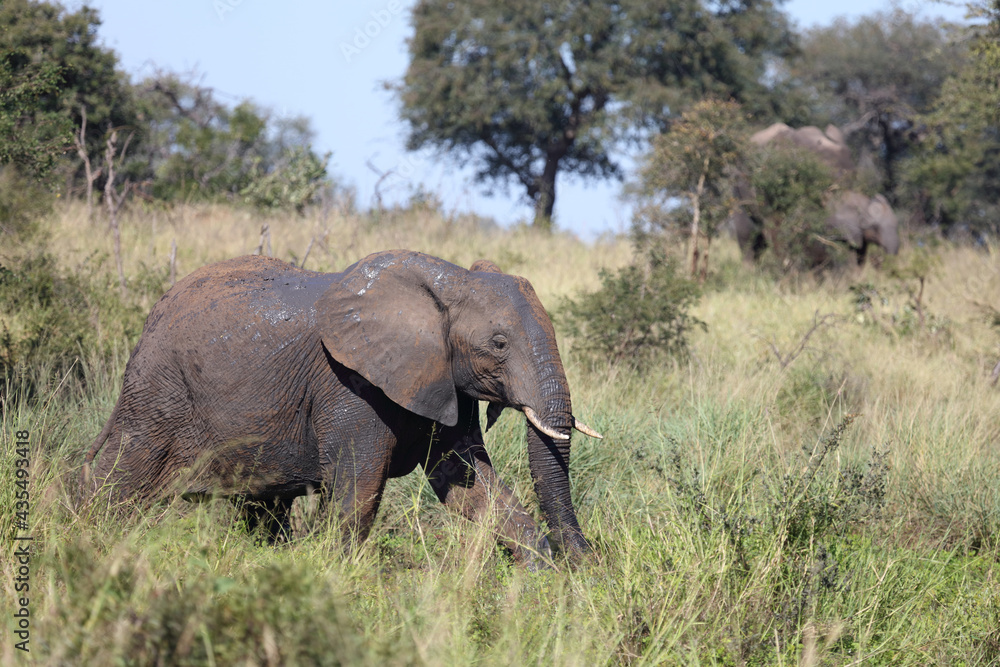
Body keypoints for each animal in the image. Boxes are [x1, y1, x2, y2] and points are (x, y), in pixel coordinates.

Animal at [83, 250, 602, 566]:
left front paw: (537, 578)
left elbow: (469, 484)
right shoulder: (349, 384)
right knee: (118, 480)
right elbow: (359, 492)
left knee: (262, 507)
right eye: (498, 343)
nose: (589, 562)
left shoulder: (440, 377)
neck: (445, 280)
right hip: (159, 393)